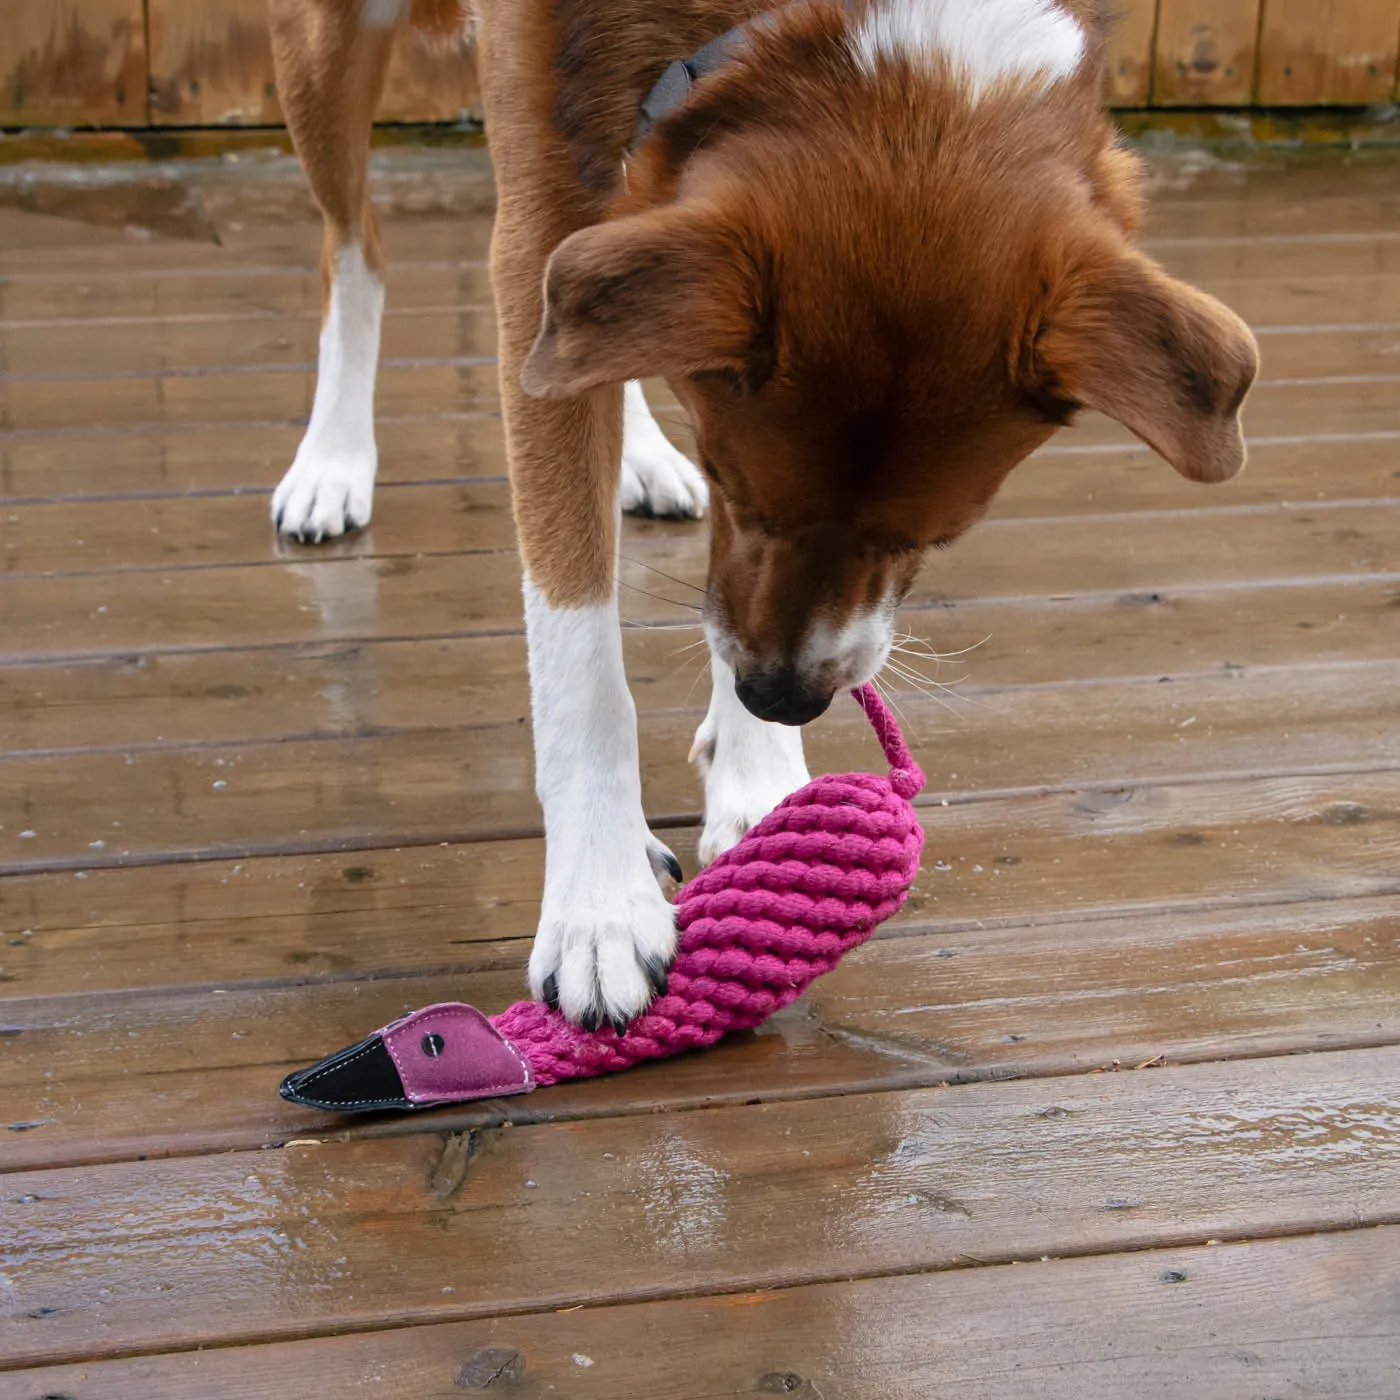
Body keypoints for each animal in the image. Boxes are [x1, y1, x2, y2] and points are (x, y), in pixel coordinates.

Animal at [263, 0, 1260, 1030]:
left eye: (933, 539)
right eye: (736, 485)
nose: (782, 698)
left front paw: (760, 774)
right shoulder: (540, 225)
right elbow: (578, 646)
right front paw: (598, 902)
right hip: (322, 56)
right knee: (356, 250)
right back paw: (334, 459)